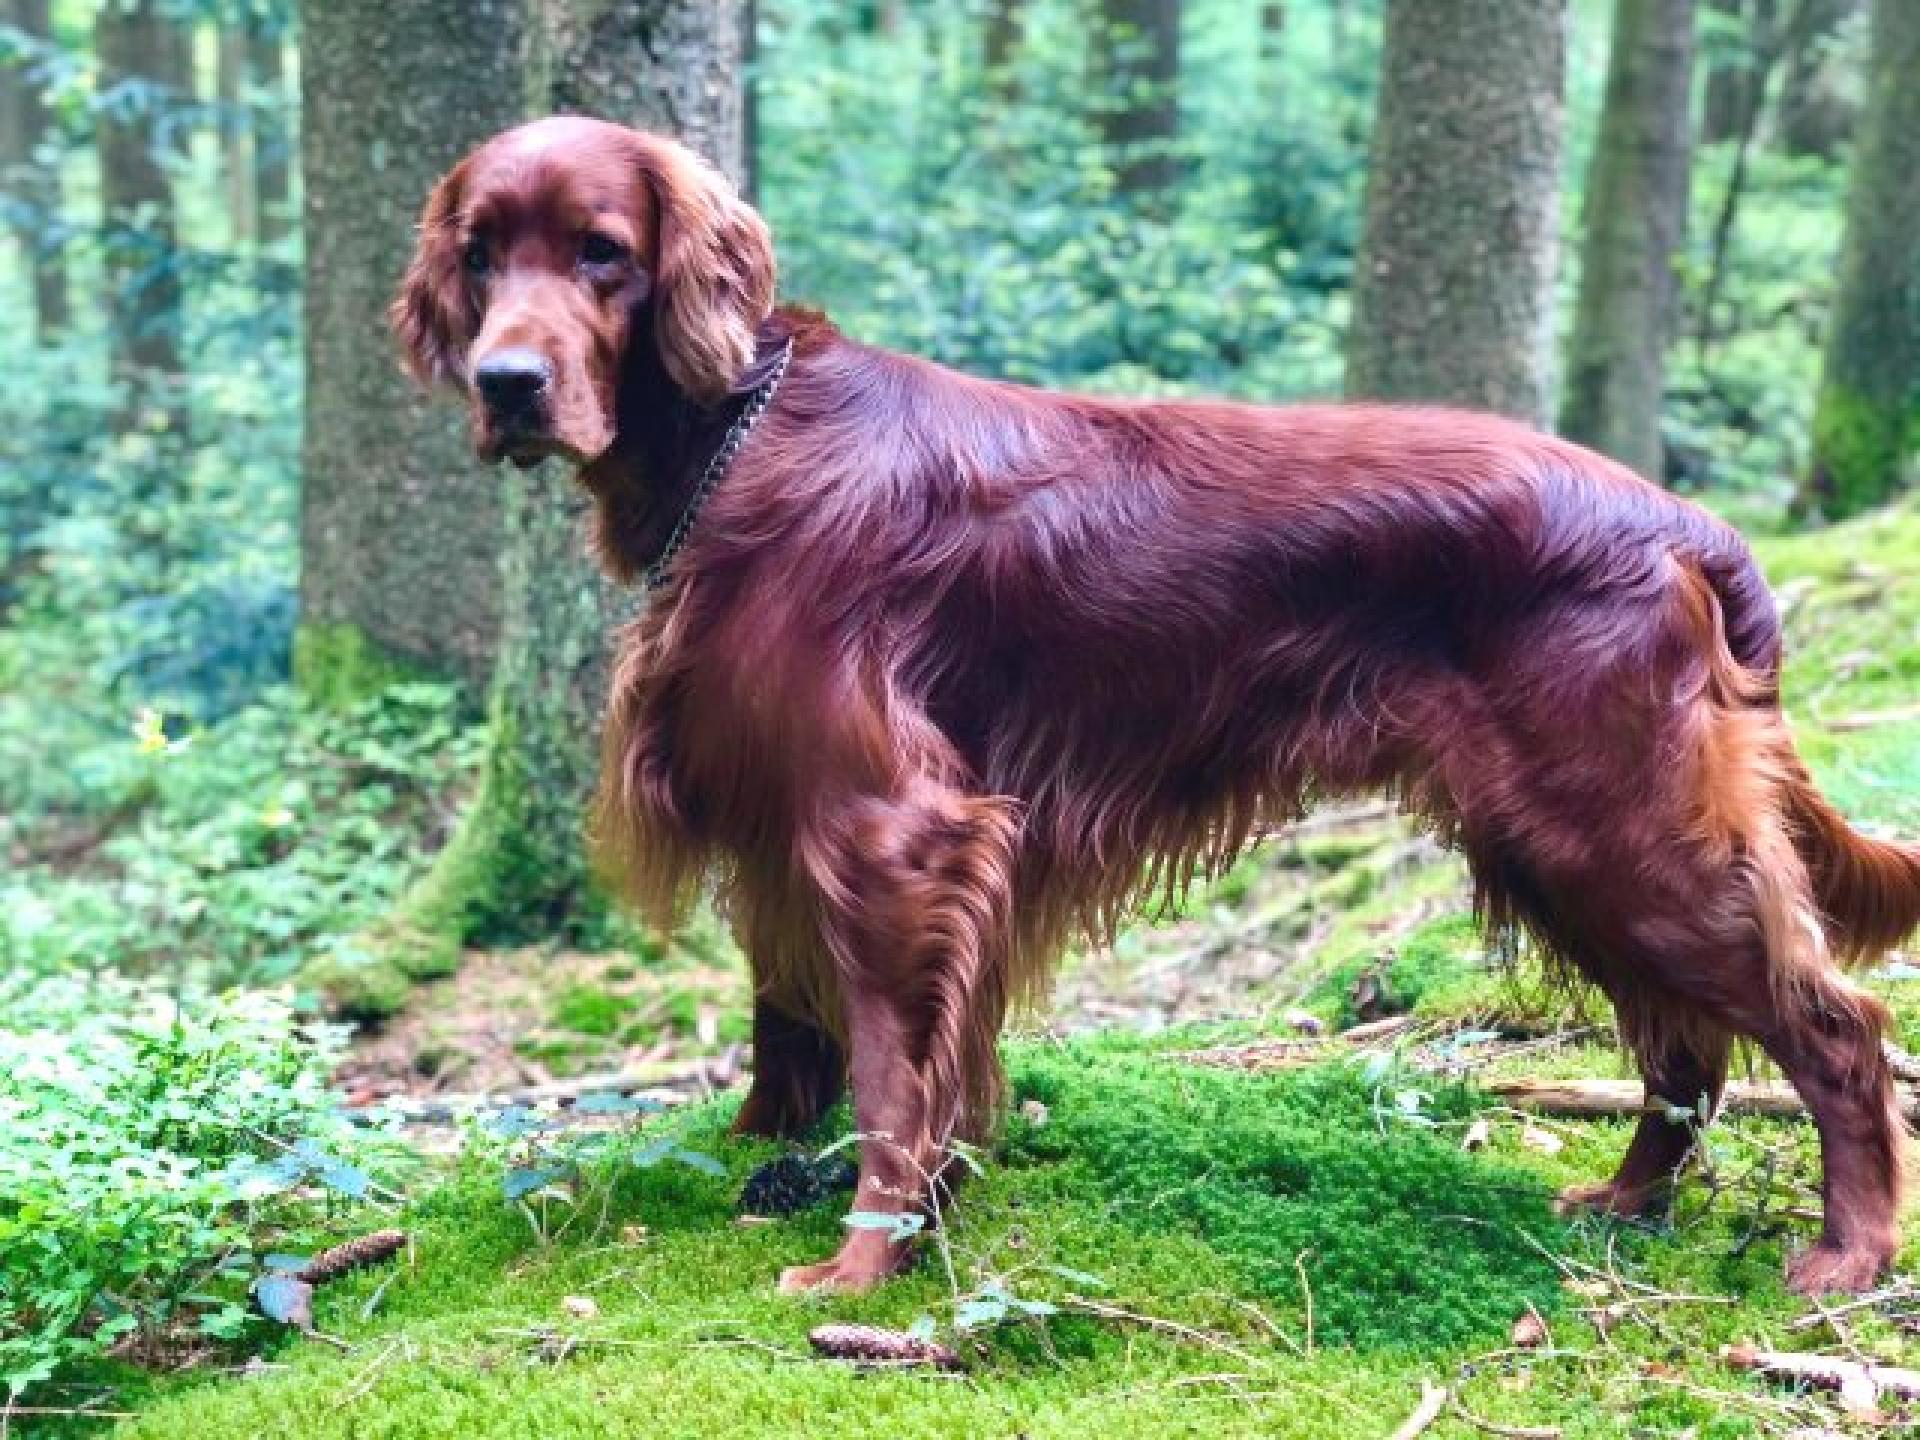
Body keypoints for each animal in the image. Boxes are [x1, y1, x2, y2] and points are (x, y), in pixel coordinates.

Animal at [393, 118, 1920, 1297]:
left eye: (603, 250)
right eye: (482, 255)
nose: (509, 385)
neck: (740, 435)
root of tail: (1682, 521)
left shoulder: (894, 829)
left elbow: (892, 1068)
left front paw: (868, 1259)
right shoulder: (778, 809)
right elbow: (789, 1015)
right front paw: (768, 1155)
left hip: (1617, 828)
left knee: (1832, 1026)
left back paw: (1848, 1257)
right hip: (1562, 843)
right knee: (1683, 1044)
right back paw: (1630, 1203)